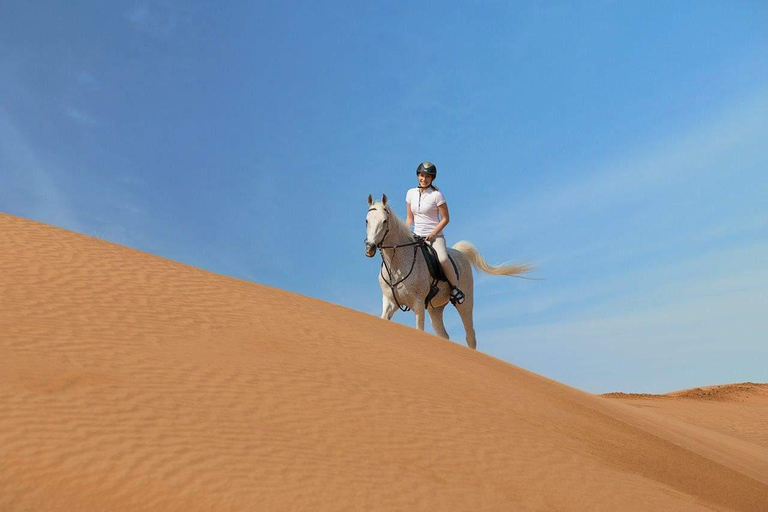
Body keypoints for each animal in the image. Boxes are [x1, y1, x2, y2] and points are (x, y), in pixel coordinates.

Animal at [364, 194, 532, 350]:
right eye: (367, 220)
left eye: (384, 221)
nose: (369, 247)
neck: (397, 264)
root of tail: (460, 253)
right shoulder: (389, 302)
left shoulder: (418, 304)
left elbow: (419, 329)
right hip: (435, 309)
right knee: (443, 335)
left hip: (465, 304)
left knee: (470, 336)